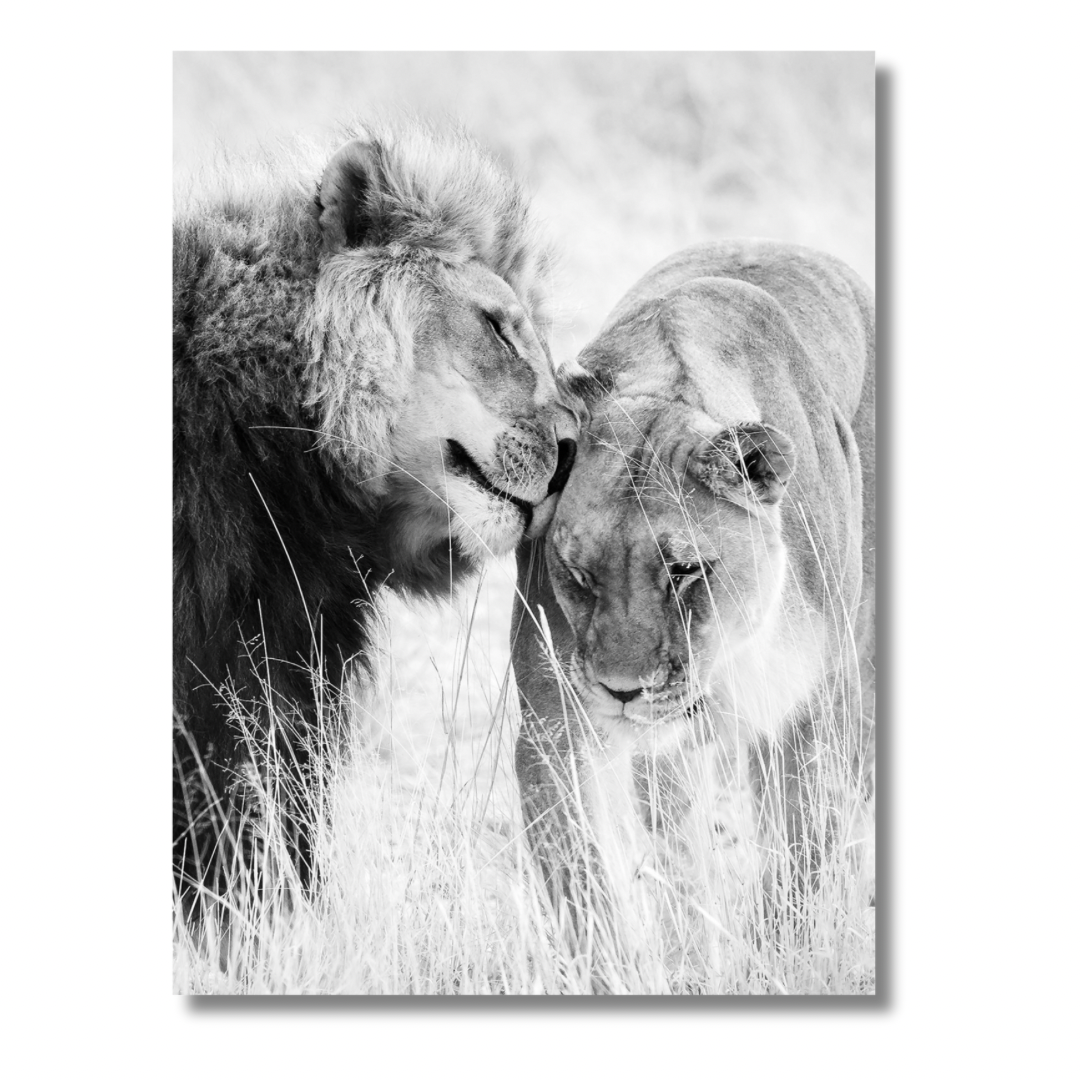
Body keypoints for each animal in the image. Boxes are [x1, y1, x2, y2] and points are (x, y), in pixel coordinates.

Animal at [511, 240, 874, 980]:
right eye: (578, 574)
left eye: (684, 572)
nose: (622, 690)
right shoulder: (554, 725)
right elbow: (584, 878)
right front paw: (620, 970)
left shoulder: (817, 707)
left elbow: (799, 863)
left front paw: (775, 966)